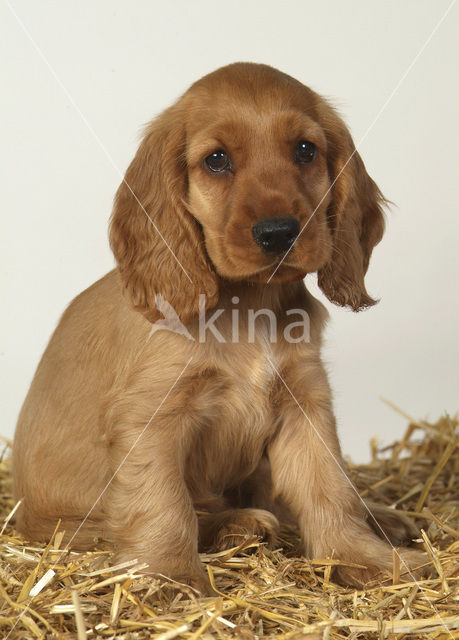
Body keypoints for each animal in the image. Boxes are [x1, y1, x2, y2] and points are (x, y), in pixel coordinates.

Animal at [12, 62, 426, 592]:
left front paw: (366, 560)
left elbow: (327, 486)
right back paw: (236, 525)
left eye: (305, 150)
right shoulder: (151, 415)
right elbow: (162, 503)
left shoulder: (304, 399)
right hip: (69, 523)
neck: (249, 307)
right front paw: (172, 578)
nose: (278, 232)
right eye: (216, 160)